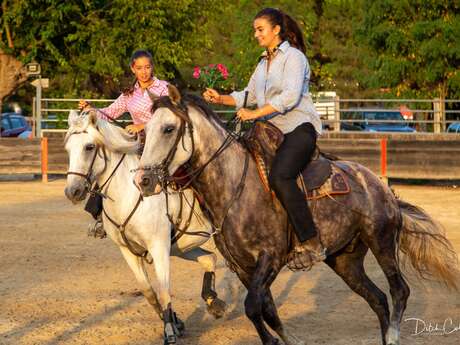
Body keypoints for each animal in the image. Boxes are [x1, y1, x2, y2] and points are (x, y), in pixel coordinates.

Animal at [64, 109, 226, 342]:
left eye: (89, 147)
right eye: (68, 148)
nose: (72, 191)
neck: (130, 195)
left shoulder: (159, 247)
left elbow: (164, 290)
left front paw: (170, 332)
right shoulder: (128, 251)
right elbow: (148, 291)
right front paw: (175, 322)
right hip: (184, 246)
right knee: (209, 259)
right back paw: (213, 301)